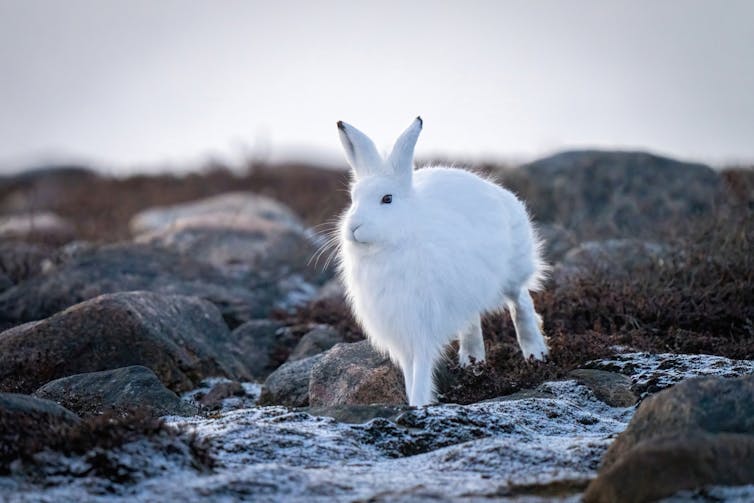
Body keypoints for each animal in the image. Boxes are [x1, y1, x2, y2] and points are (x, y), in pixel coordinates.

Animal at [336, 117, 549, 407]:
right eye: (353, 199)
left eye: (387, 199)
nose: (353, 227)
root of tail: (501, 193)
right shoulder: (400, 329)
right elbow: (408, 371)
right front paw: (413, 401)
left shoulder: (421, 323)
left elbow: (421, 368)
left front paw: (417, 403)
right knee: (472, 318)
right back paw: (472, 361)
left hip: (512, 272)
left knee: (521, 302)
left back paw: (536, 354)